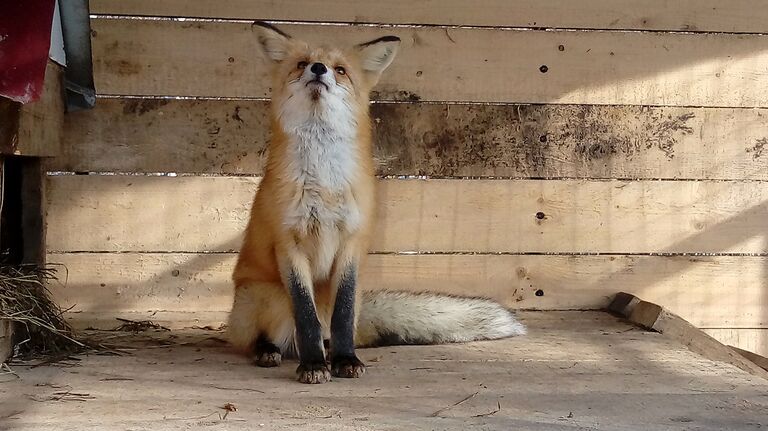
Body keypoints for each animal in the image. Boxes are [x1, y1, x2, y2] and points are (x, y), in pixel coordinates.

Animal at [226, 21, 528, 384]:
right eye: (301, 64)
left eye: (341, 70)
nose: (319, 68)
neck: (324, 184)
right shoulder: (289, 243)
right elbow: (306, 317)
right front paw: (313, 366)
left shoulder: (353, 241)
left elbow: (342, 316)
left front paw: (344, 360)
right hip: (268, 297)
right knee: (266, 336)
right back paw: (270, 351)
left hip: (347, 299)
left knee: (335, 326)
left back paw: (329, 349)